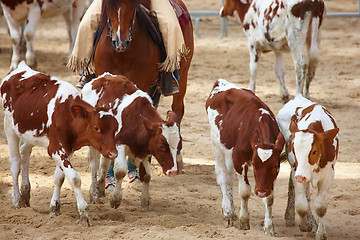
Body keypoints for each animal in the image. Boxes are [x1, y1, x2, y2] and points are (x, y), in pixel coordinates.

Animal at [0, 61, 118, 226]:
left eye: (115, 128)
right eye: (96, 127)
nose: (113, 153)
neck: (66, 113)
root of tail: (20, 69)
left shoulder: (68, 149)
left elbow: (59, 178)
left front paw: (54, 208)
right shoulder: (56, 149)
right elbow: (74, 178)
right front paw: (84, 213)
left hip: (30, 134)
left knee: (25, 153)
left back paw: (25, 193)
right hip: (9, 128)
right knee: (15, 164)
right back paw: (16, 200)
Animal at [81, 73, 180, 210]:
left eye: (178, 144)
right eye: (161, 146)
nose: (173, 172)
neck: (136, 119)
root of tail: (98, 79)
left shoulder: (146, 150)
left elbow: (146, 175)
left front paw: (145, 202)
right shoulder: (119, 145)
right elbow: (120, 171)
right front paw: (115, 200)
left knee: (104, 164)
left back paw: (100, 189)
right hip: (93, 143)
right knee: (94, 165)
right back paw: (94, 194)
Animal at [205, 79, 284, 236]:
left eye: (274, 166)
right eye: (254, 163)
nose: (261, 191)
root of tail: (221, 84)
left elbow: (270, 198)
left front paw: (269, 227)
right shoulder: (239, 160)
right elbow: (245, 192)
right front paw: (244, 221)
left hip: (228, 154)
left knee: (229, 179)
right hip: (218, 148)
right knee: (223, 177)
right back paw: (228, 213)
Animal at [278, 94, 338, 239]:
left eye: (314, 152)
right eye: (294, 150)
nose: (301, 177)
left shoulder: (328, 175)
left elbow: (320, 206)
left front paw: (321, 233)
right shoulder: (297, 170)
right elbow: (302, 205)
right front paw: (305, 226)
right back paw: (295, 218)